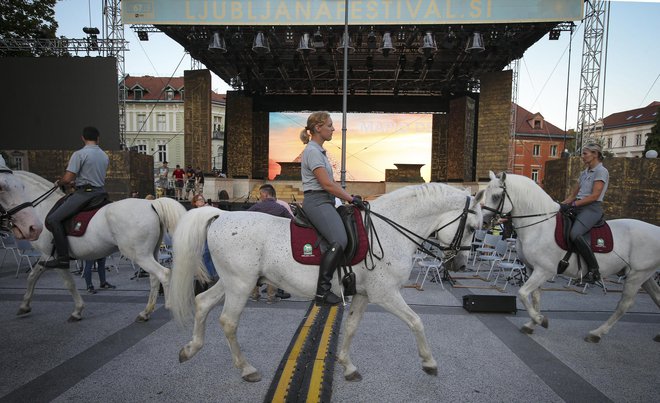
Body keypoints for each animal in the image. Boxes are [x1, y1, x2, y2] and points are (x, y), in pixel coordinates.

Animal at [13, 172, 188, 324]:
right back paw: (146, 312)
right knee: (154, 277)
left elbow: (68, 283)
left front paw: (77, 311)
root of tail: (152, 204)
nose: (27, 229)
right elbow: (33, 276)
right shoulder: (47, 257)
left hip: (140, 255)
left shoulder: (52, 257)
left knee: (164, 274)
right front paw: (24, 306)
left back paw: (168, 306)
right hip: (150, 253)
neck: (42, 208)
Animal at [168, 185, 482, 384]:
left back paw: (190, 349)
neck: (388, 229)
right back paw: (246, 369)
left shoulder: (364, 294)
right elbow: (416, 321)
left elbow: (351, 327)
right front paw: (429, 363)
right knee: (228, 321)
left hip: (233, 282)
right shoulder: (386, 294)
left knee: (202, 303)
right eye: (472, 227)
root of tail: (223, 214)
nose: (460, 264)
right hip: (241, 285)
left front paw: (348, 366)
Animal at [476, 171, 656, 344]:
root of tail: (655, 229)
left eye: (496, 196)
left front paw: (540, 320)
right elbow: (534, 298)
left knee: (624, 305)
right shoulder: (533, 269)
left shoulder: (544, 271)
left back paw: (596, 333)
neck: (540, 226)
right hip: (644, 276)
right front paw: (533, 323)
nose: (483, 222)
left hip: (636, 275)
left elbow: (522, 293)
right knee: (656, 296)